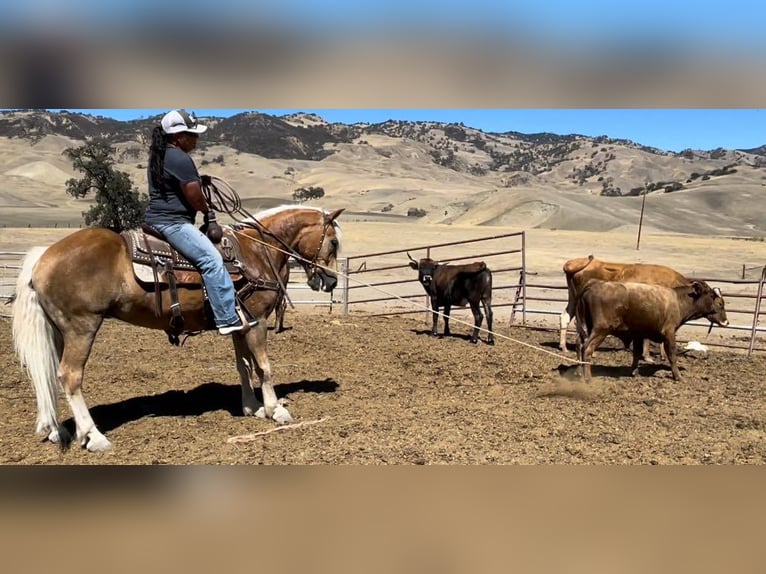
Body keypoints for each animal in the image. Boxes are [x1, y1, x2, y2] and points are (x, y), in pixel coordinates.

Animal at [9, 205, 342, 452]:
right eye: (334, 241)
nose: (331, 280)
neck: (256, 253)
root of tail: (43, 256)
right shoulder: (257, 322)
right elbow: (264, 367)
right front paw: (276, 410)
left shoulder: (240, 324)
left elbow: (243, 366)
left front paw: (252, 407)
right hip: (82, 328)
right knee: (69, 377)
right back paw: (94, 436)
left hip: (59, 332)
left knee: (48, 375)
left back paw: (57, 431)